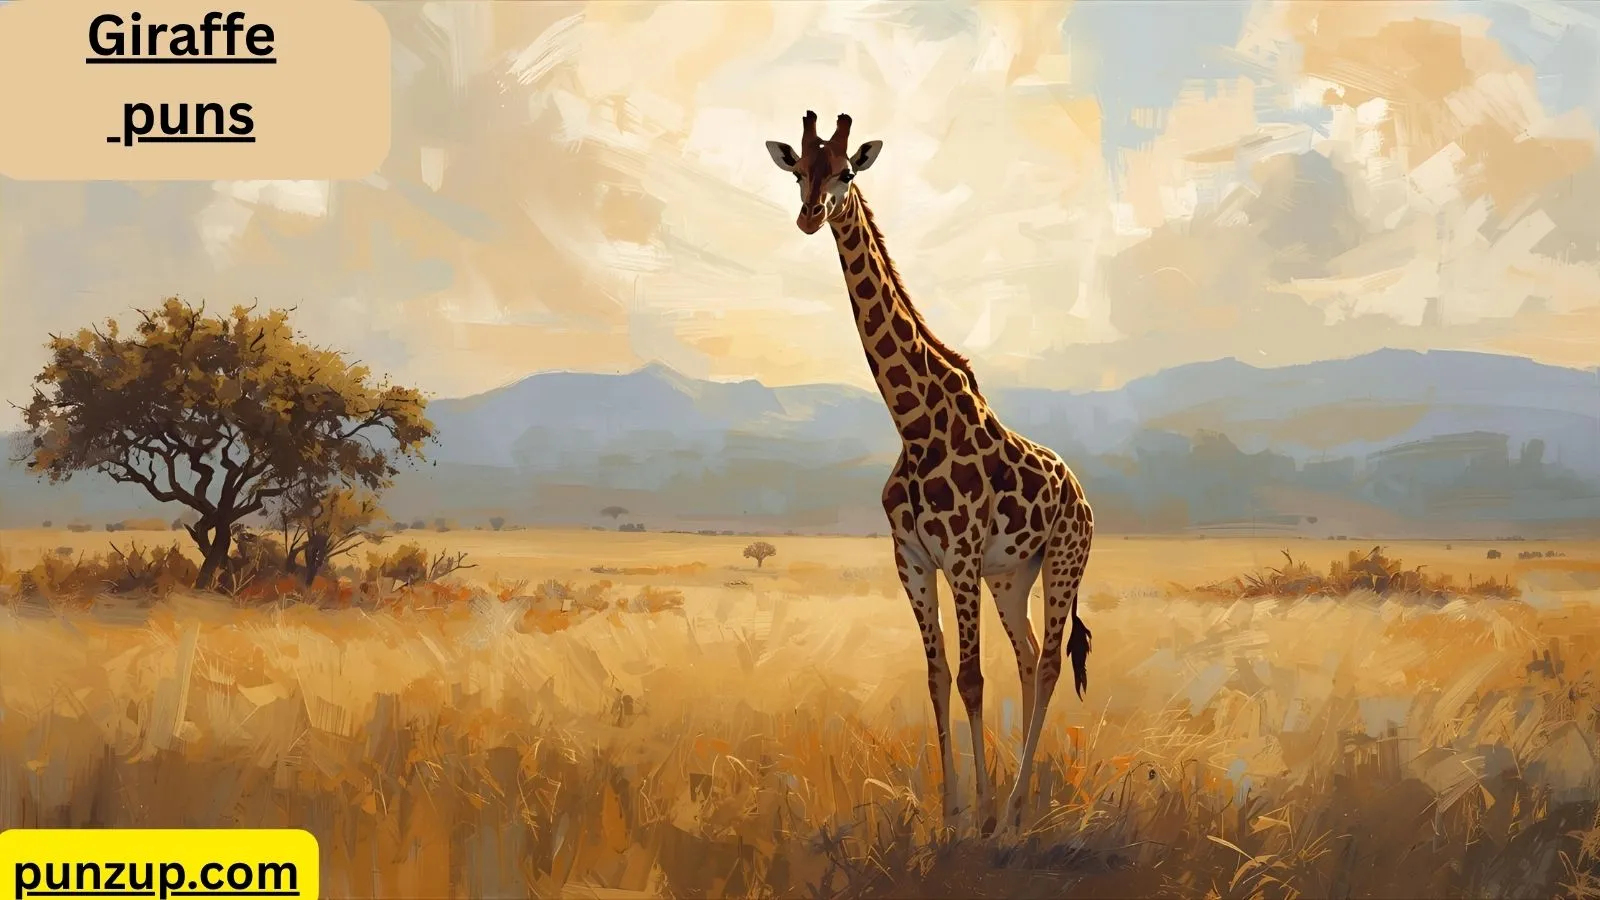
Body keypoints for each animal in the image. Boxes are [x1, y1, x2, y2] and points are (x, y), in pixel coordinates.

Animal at [764, 112, 1094, 834]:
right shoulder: (912, 558)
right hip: (1011, 575)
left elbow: (971, 678)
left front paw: (983, 819)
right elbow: (939, 676)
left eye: (846, 172)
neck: (912, 423)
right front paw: (951, 813)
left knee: (1049, 662)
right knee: (1027, 655)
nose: (809, 216)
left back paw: (1016, 810)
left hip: (1062, 560)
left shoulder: (960, 554)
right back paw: (1020, 803)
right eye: (798, 168)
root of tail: (1082, 494)